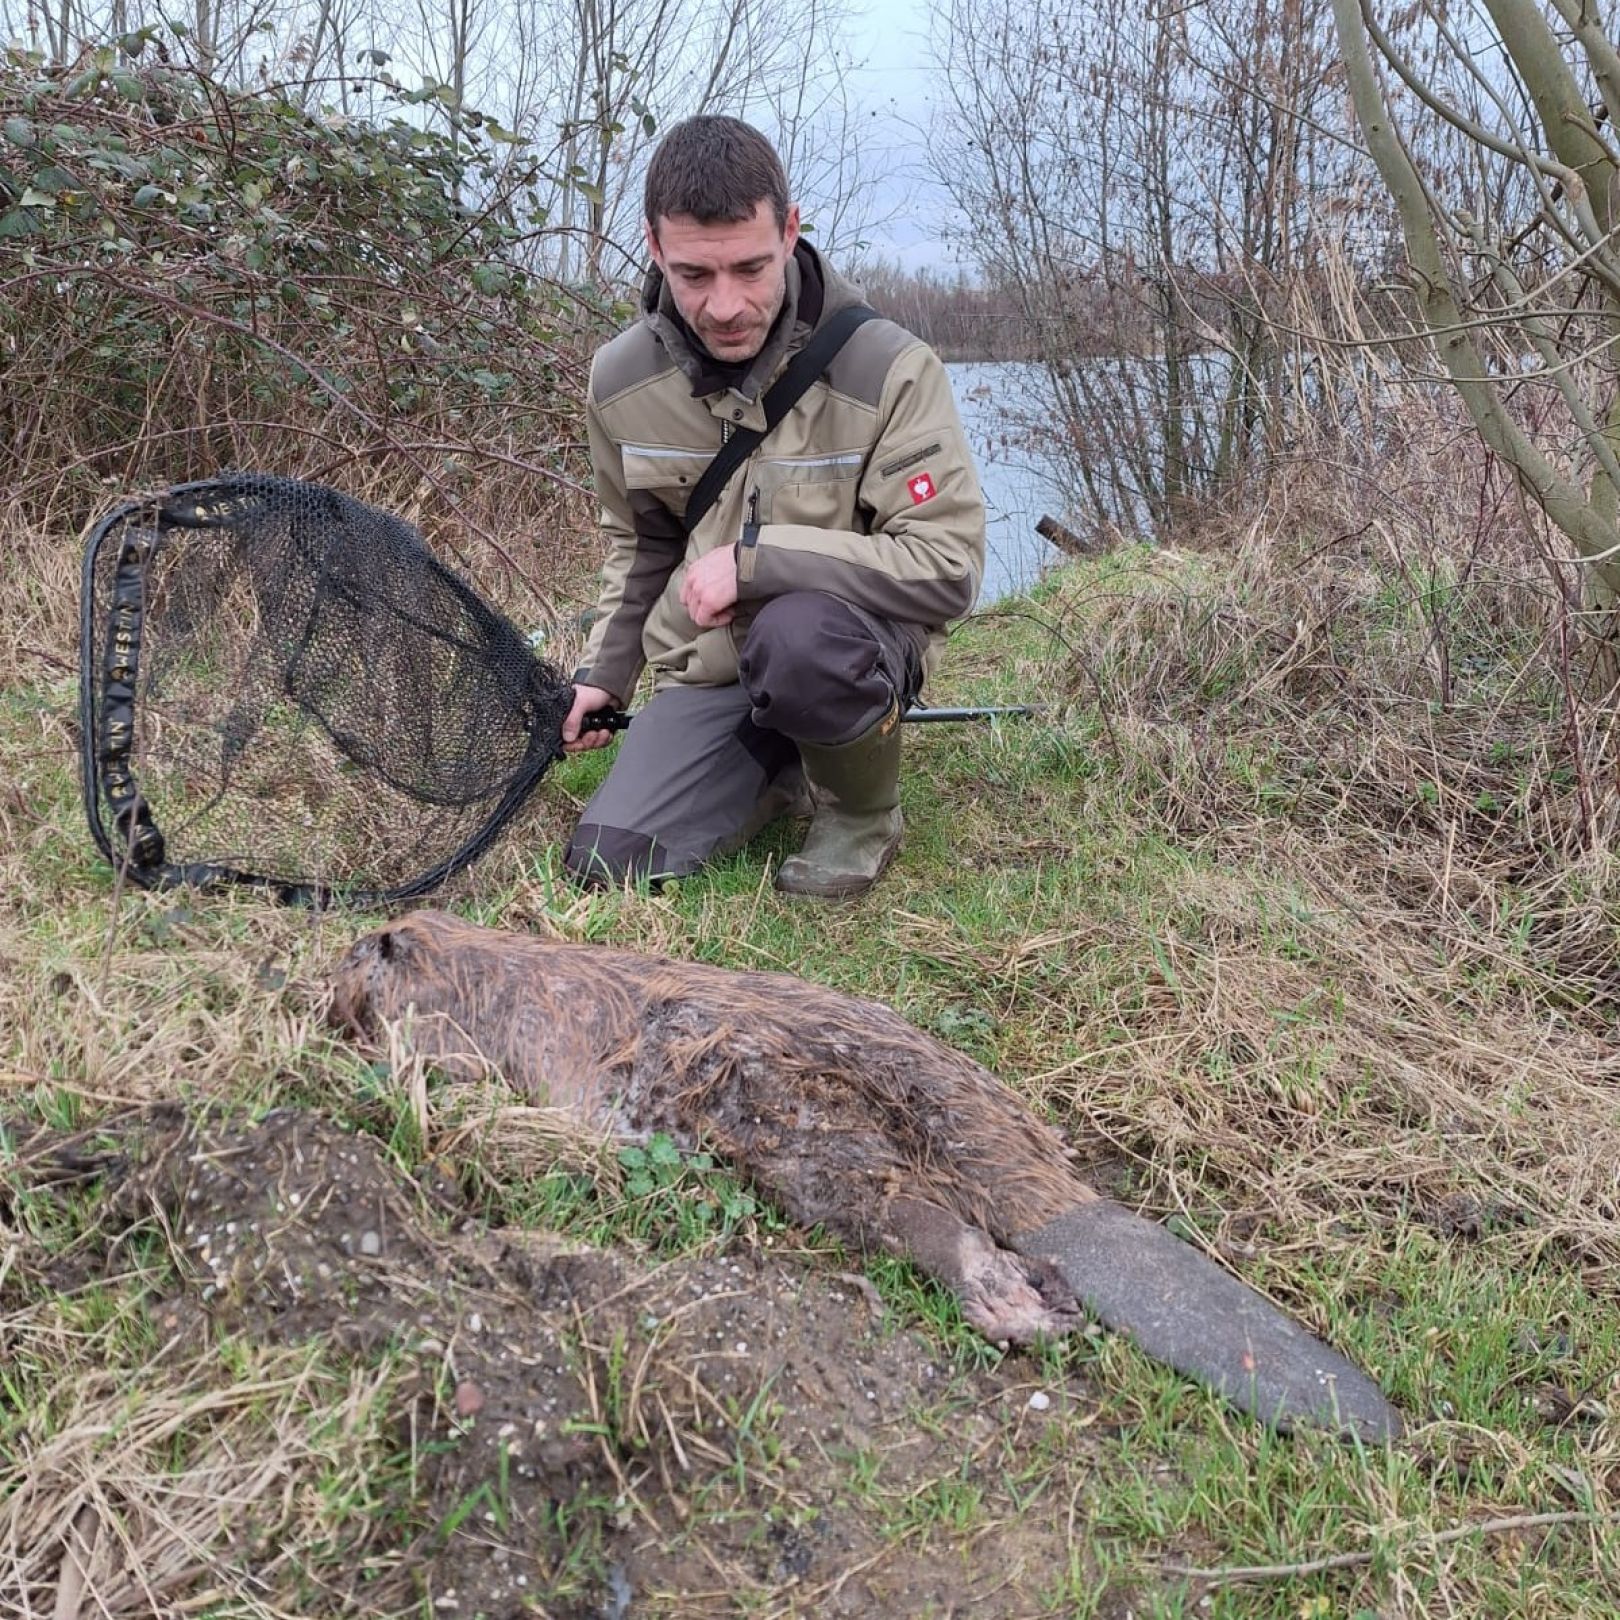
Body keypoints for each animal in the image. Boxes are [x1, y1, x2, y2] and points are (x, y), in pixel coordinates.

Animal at [332, 913, 1406, 1445]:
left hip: (816, 1157)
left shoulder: (463, 1026)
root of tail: (1059, 1208)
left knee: (938, 1230)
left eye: (355, 953)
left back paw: (1023, 1311)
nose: (327, 979)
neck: (469, 955)